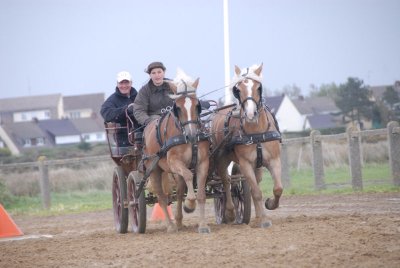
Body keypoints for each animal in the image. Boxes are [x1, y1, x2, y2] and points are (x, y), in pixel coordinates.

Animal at [141, 69, 209, 232]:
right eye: (177, 107)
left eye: (197, 105)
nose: (192, 134)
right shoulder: (173, 162)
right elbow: (189, 175)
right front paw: (190, 204)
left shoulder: (203, 162)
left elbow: (201, 194)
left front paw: (203, 225)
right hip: (153, 169)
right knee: (161, 197)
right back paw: (171, 226)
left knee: (178, 192)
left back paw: (178, 221)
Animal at [211, 63, 282, 228]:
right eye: (238, 89)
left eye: (258, 87)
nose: (250, 114)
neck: (256, 132)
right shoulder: (245, 164)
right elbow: (256, 192)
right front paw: (264, 220)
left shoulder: (274, 160)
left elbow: (277, 188)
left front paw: (269, 205)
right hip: (222, 159)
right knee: (225, 182)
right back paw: (230, 212)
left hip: (258, 165)